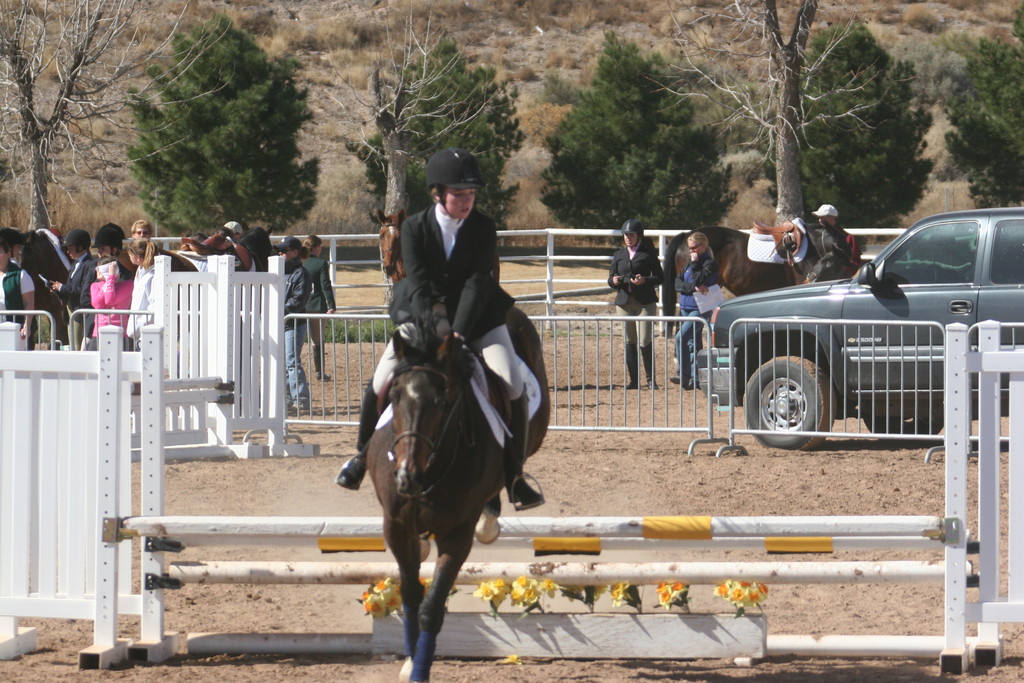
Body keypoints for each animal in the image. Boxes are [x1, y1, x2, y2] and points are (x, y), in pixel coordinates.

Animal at [368, 317, 507, 683]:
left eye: (442, 401)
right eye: (394, 396)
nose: (406, 477)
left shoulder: (457, 535)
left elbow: (431, 607)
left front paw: (419, 669)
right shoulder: (395, 527)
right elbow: (411, 596)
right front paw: (409, 661)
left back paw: (491, 521)